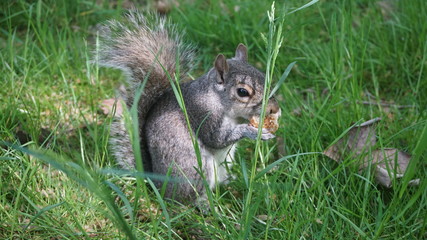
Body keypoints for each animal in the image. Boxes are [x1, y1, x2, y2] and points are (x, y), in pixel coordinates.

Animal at [98, 10, 282, 204]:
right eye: (242, 92)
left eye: (263, 76)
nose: (274, 108)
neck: (216, 99)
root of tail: (157, 184)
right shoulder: (202, 114)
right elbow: (216, 139)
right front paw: (252, 131)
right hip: (195, 168)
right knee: (190, 198)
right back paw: (207, 204)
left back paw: (230, 182)